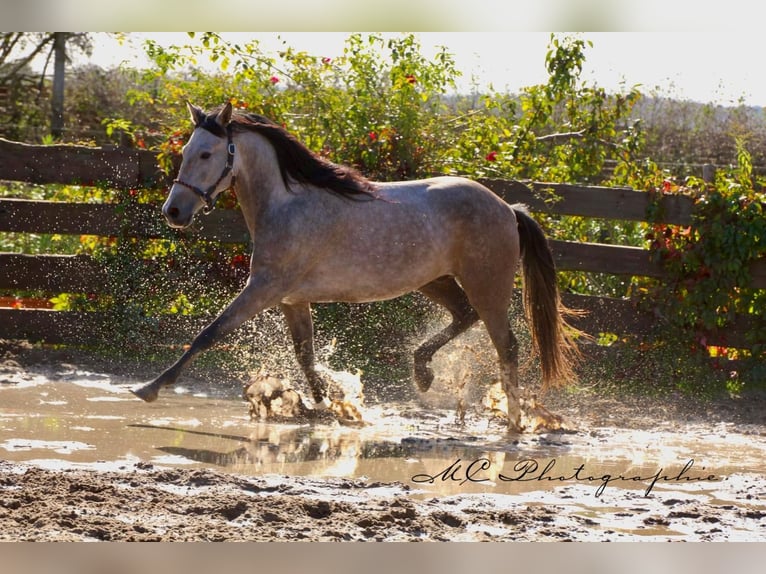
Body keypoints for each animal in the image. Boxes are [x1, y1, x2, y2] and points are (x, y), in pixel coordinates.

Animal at [131, 101, 581, 432]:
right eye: (185, 153)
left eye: (206, 153)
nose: (173, 212)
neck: (287, 205)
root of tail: (508, 208)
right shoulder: (291, 300)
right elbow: (305, 356)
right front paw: (326, 405)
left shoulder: (263, 289)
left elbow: (209, 333)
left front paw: (150, 388)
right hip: (435, 281)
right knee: (463, 316)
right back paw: (423, 373)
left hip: (488, 287)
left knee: (507, 346)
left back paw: (513, 422)